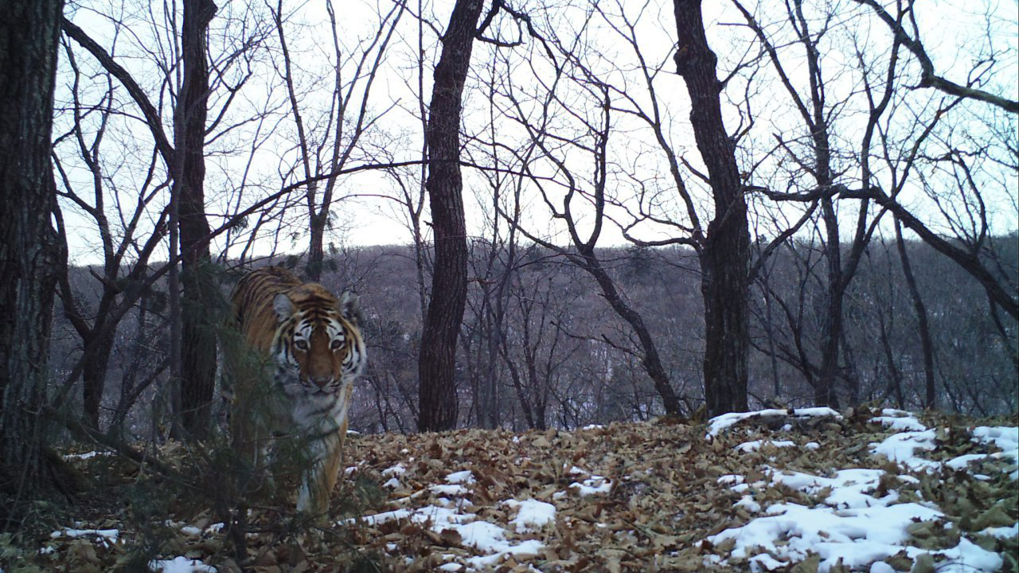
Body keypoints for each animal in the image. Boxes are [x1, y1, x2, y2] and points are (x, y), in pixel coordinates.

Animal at [228, 266, 366, 515]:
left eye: (336, 344)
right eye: (302, 344)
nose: (321, 381)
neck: (299, 398)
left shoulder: (327, 425)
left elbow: (318, 484)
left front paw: (310, 520)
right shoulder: (253, 411)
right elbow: (252, 452)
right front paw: (257, 492)